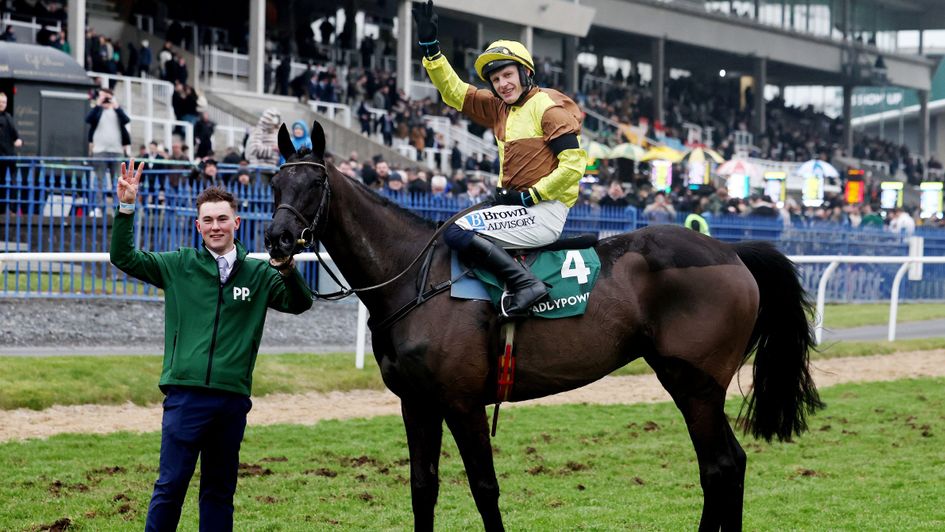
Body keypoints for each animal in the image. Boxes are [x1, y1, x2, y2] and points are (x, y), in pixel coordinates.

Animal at [262, 121, 824, 532]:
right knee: (733, 464)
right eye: (274, 182)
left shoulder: (462, 402)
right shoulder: (416, 402)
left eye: (316, 183)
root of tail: (731, 251)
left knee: (719, 466)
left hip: (695, 384)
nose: (278, 239)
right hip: (696, 384)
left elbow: (484, 488)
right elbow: (423, 486)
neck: (413, 278)